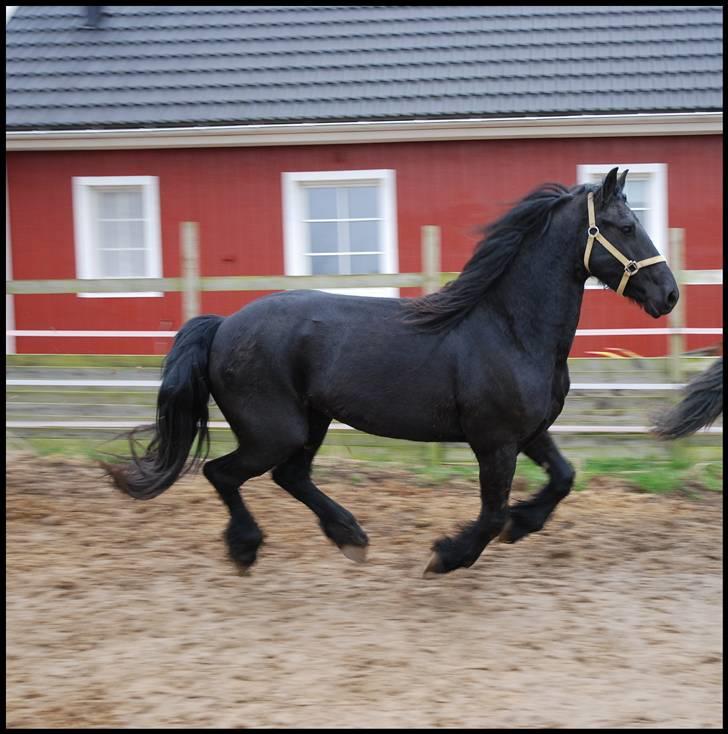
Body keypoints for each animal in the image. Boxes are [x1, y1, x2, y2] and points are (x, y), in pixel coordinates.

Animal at [105, 170, 680, 576]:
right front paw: (446, 556)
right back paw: (248, 549)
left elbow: (563, 478)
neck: (510, 328)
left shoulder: (530, 432)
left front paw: (523, 525)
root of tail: (224, 325)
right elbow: (492, 512)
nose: (669, 294)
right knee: (223, 473)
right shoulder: (494, 441)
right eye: (626, 227)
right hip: (275, 430)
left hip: (311, 422)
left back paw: (350, 537)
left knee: (291, 476)